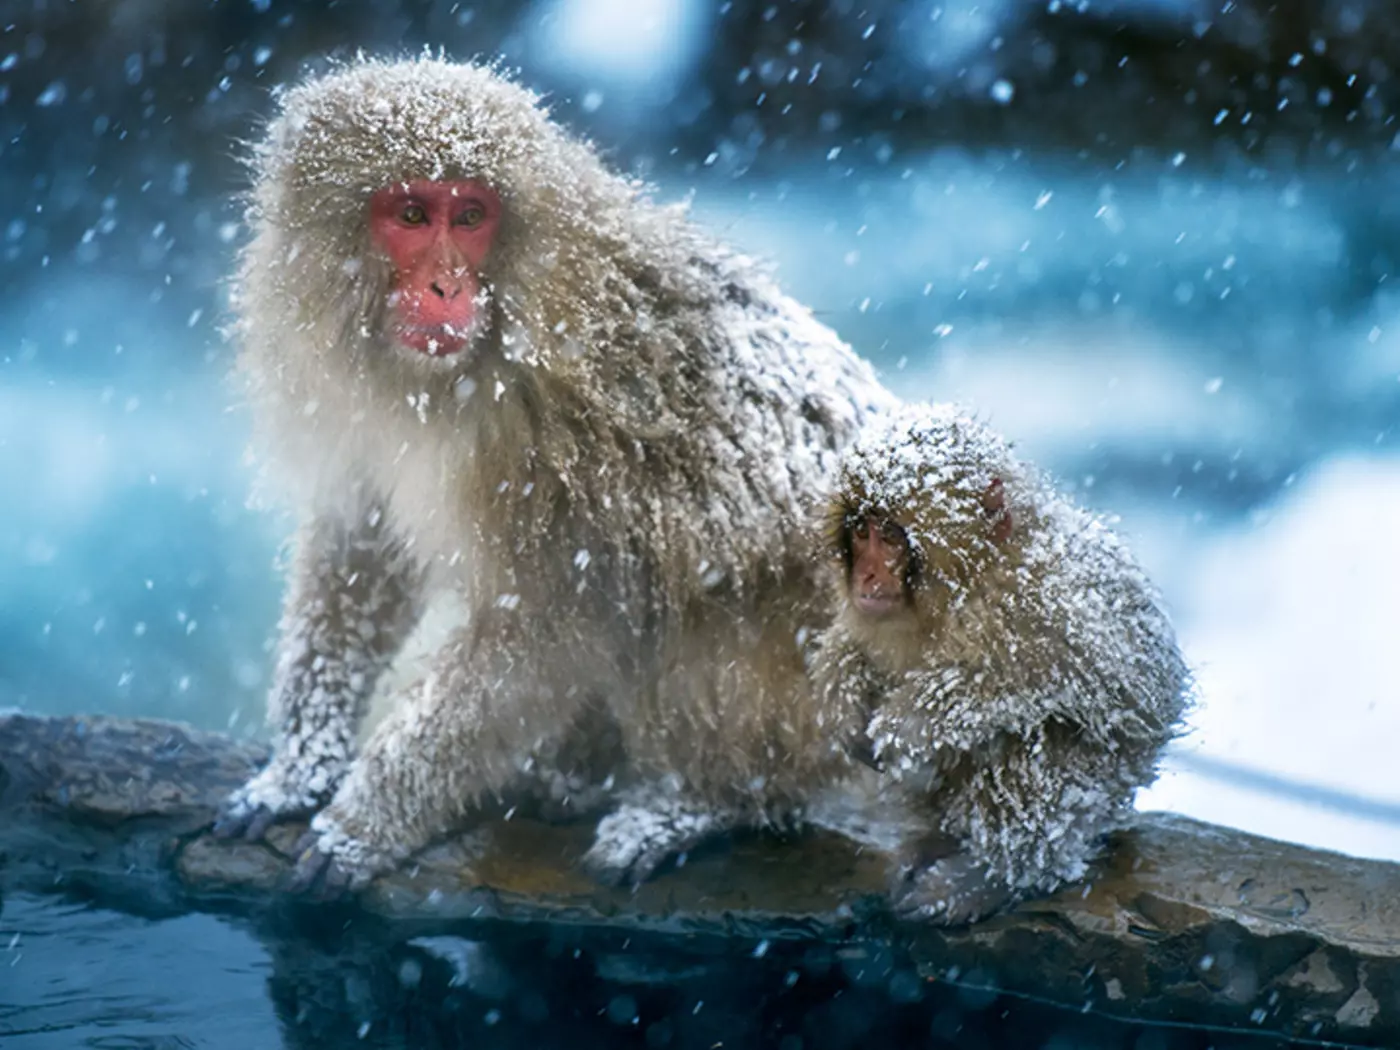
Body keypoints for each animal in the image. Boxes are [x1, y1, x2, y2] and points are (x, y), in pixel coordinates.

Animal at [210, 56, 897, 892]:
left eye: (471, 216)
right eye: (411, 213)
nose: (447, 286)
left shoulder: (552, 450)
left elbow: (547, 632)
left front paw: (365, 822)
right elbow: (361, 539)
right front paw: (300, 765)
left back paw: (706, 802)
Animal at [807, 403, 1190, 924]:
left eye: (889, 537)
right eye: (861, 531)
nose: (865, 576)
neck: (966, 587)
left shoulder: (1045, 599)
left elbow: (1089, 680)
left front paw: (910, 721)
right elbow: (854, 647)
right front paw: (840, 691)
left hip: (1101, 791)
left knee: (1030, 743)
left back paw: (992, 877)